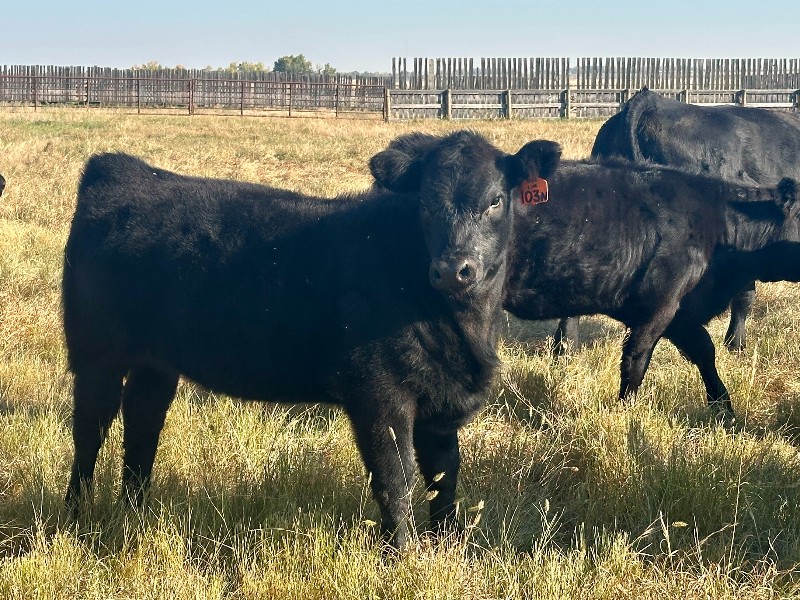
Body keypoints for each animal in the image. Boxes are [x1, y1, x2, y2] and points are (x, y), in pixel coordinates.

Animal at [61, 131, 562, 549]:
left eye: (496, 200)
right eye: (424, 203)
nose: (454, 268)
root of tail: (121, 168)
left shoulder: (442, 400)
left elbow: (443, 477)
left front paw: (446, 546)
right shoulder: (377, 394)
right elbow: (395, 478)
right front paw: (402, 554)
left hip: (155, 360)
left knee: (142, 421)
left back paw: (133, 513)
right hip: (95, 351)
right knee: (91, 427)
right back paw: (75, 517)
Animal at [502, 158, 800, 426]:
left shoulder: (680, 313)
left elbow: (704, 351)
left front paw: (724, 409)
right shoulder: (659, 306)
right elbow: (635, 360)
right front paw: (625, 413)